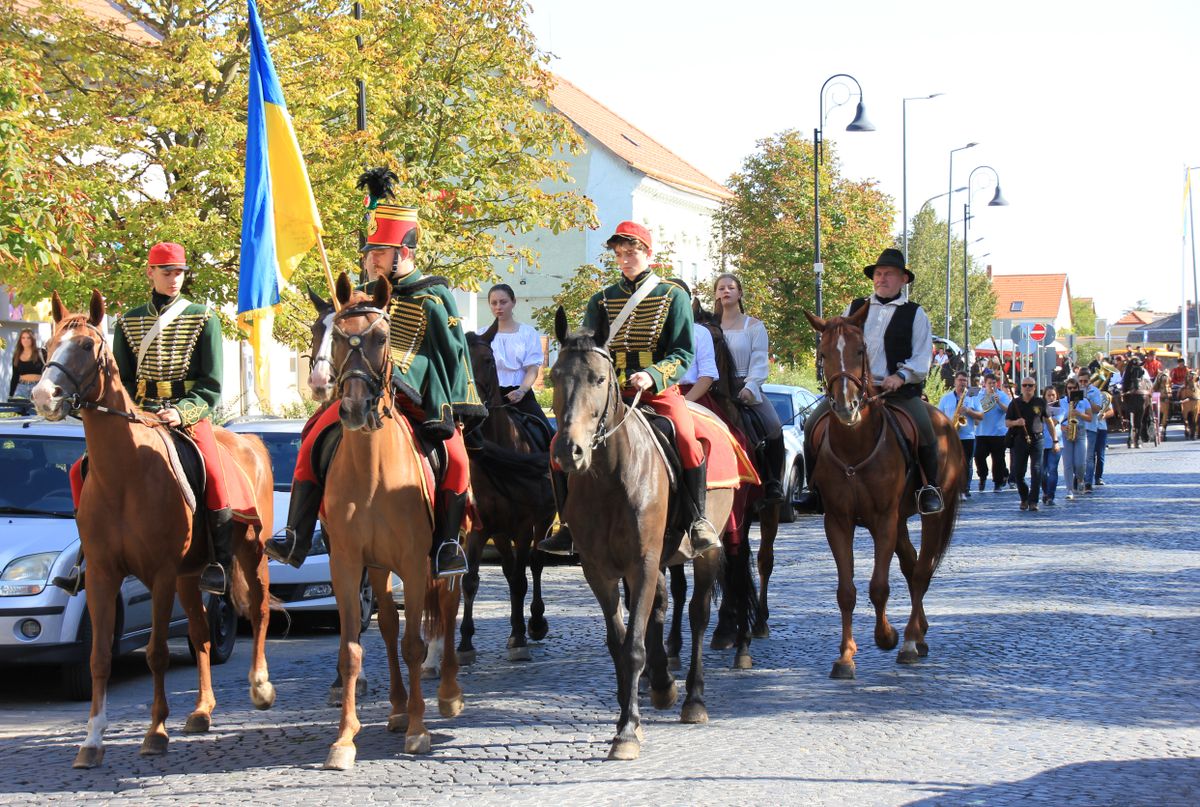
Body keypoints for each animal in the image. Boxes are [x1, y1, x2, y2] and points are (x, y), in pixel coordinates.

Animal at [33, 290, 278, 768]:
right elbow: (99, 658)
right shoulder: (103, 576)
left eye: (87, 345)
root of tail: (250, 441)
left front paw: (155, 731)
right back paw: (201, 710)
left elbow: (158, 653)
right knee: (201, 635)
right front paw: (92, 741)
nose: (41, 394)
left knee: (258, 612)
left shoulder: (160, 575)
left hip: (249, 554)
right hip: (191, 575)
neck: (124, 474)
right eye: (48, 345)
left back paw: (260, 687)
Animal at [316, 272, 460, 768]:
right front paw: (344, 739)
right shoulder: (346, 564)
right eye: (338, 337)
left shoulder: (417, 564)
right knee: (388, 626)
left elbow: (416, 644)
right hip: (378, 570)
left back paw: (447, 695)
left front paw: (419, 730)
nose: (354, 409)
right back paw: (396, 709)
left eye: (382, 337)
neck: (372, 474)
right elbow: (352, 649)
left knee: (448, 611)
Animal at [458, 331, 556, 662]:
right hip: (499, 532)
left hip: (543, 521)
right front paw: (465, 642)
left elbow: (521, 579)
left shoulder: (524, 526)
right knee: (510, 569)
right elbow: (470, 581)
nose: (469, 411)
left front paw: (520, 636)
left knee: (535, 565)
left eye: (488, 361)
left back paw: (535, 623)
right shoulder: (478, 529)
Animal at [549, 306, 729, 758]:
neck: (609, 478)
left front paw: (628, 730)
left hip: (707, 552)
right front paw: (627, 709)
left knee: (698, 613)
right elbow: (620, 641)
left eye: (598, 378)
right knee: (660, 609)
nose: (568, 451)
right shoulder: (599, 569)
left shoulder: (643, 562)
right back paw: (662, 684)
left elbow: (633, 645)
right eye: (555, 375)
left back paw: (693, 698)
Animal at [806, 309, 964, 682]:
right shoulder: (838, 522)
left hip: (931, 514)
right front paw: (845, 657)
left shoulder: (883, 521)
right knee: (911, 564)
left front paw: (887, 636)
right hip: (901, 521)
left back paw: (909, 640)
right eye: (823, 354)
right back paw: (919, 633)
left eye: (860, 350)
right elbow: (846, 592)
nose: (846, 407)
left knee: (921, 571)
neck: (855, 446)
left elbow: (879, 586)